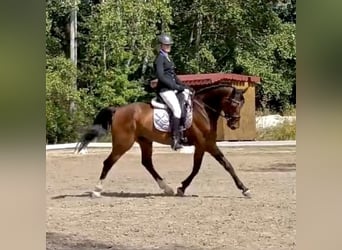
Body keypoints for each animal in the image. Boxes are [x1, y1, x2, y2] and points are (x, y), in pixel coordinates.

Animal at [75, 84, 251, 197]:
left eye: (242, 104)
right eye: (233, 103)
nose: (234, 125)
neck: (203, 110)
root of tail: (117, 110)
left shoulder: (203, 145)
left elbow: (201, 167)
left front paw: (182, 188)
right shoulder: (206, 144)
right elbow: (222, 165)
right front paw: (244, 189)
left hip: (145, 141)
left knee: (147, 163)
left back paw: (166, 188)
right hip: (123, 143)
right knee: (108, 162)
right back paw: (96, 190)